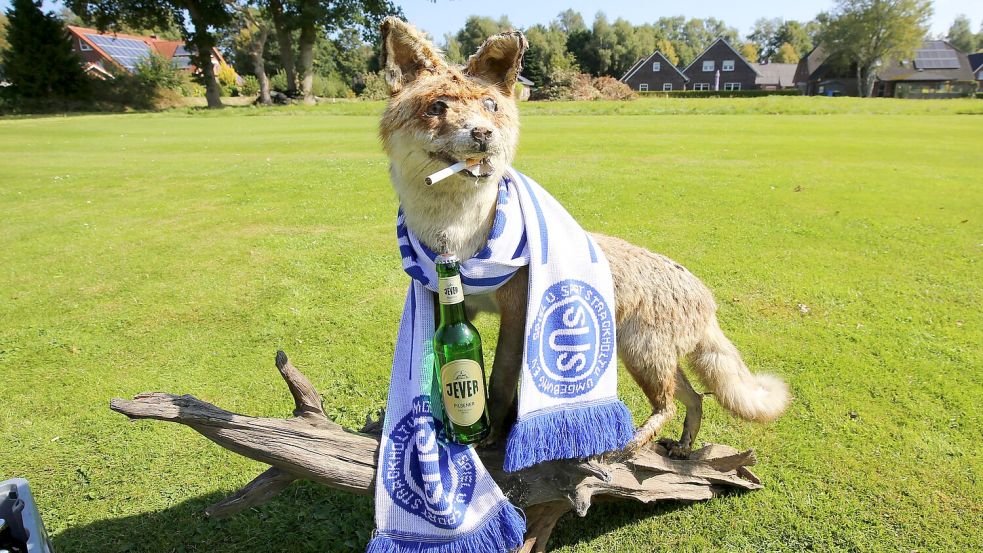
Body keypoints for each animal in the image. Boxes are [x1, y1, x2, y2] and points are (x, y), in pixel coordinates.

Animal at [377, 17, 790, 458]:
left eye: (490, 106)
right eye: (438, 106)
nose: (484, 134)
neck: (461, 244)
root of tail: (705, 296)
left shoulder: (517, 312)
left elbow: (501, 385)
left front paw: (491, 435)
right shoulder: (454, 307)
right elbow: (446, 373)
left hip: (639, 356)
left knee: (668, 405)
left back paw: (630, 442)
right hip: (649, 357)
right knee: (695, 399)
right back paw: (680, 447)